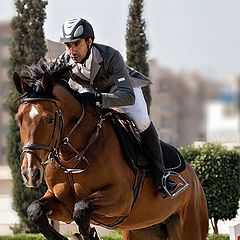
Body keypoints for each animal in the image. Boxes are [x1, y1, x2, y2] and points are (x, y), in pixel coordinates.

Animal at [12, 62, 208, 240]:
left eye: (49, 119)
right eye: (18, 119)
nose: (30, 173)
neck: (74, 155)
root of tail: (195, 179)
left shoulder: (121, 199)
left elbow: (82, 208)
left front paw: (87, 235)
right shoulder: (62, 203)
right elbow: (35, 211)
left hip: (191, 226)